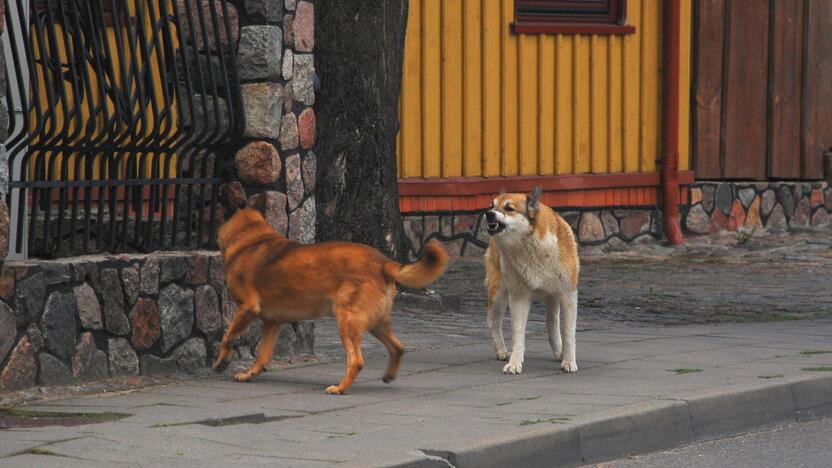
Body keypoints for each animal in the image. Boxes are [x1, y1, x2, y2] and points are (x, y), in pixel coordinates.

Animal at [214, 207, 448, 394]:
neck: (250, 238)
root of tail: (384, 262)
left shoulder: (247, 309)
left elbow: (227, 337)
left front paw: (220, 363)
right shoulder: (272, 323)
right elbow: (262, 355)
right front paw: (249, 375)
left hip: (347, 322)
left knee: (356, 361)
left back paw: (340, 388)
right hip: (376, 323)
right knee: (398, 347)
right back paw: (388, 376)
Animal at [488, 188, 580, 374]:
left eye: (509, 208)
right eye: (491, 206)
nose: (489, 214)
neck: (530, 245)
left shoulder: (568, 294)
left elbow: (568, 333)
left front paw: (568, 361)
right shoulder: (518, 297)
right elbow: (518, 334)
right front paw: (514, 363)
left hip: (553, 295)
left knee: (552, 322)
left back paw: (559, 352)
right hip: (499, 292)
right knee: (493, 321)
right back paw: (501, 351)